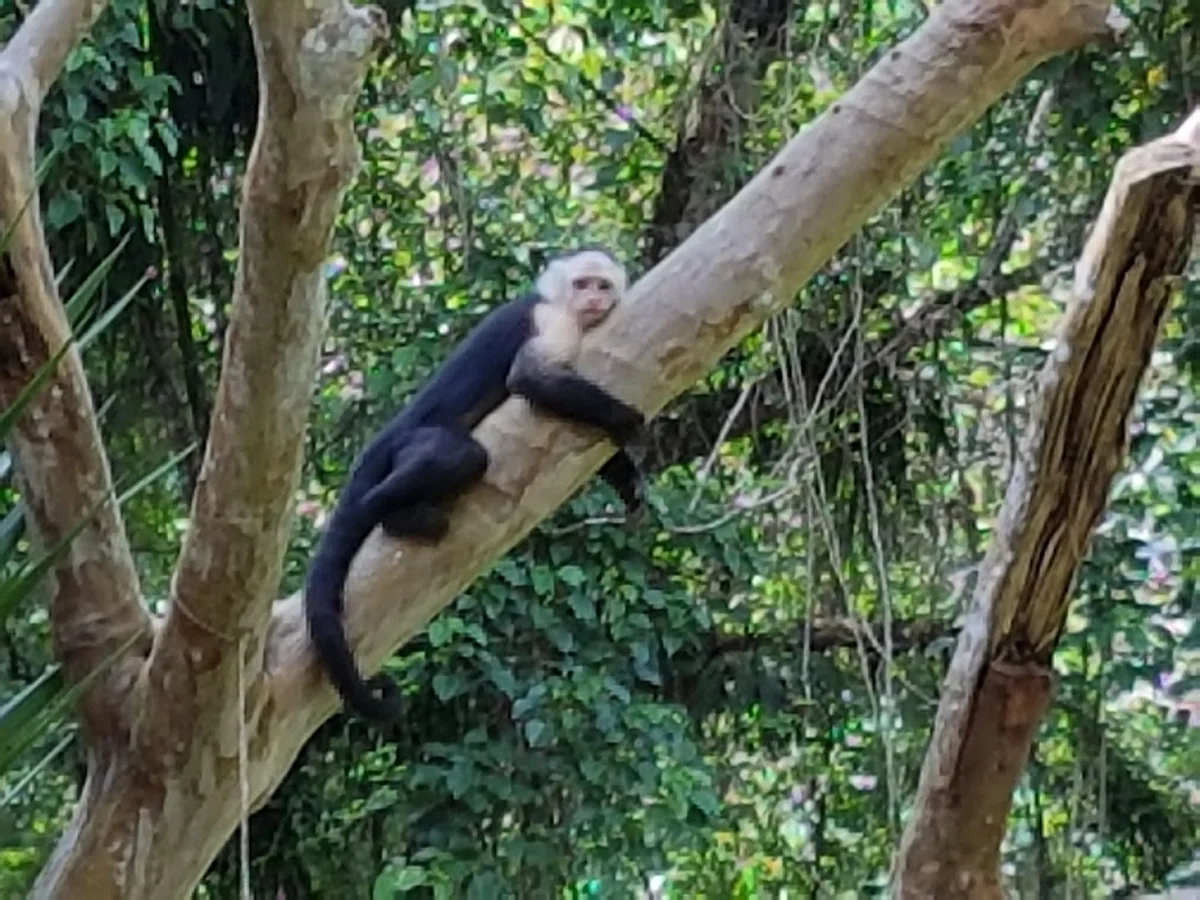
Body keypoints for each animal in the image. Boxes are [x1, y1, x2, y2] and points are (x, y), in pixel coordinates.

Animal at [305, 247, 646, 722]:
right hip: (413, 440)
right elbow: (530, 377)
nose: (594, 299)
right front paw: (629, 420)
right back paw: (389, 511)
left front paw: (630, 481)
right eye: (582, 284)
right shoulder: (553, 319)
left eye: (603, 285)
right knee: (462, 457)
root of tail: (385, 436)